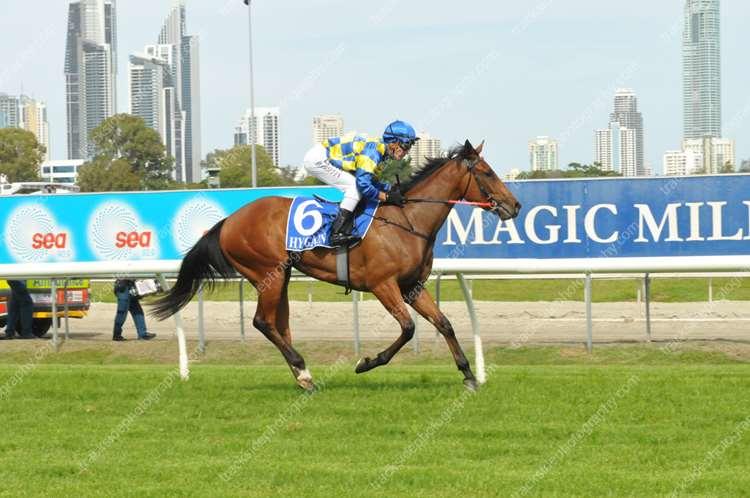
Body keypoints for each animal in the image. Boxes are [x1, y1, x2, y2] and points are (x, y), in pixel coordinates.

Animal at [152, 140, 521, 391]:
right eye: (487, 173)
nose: (515, 206)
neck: (408, 221)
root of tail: (229, 220)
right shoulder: (382, 285)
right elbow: (408, 328)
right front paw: (367, 362)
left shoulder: (412, 287)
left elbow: (444, 323)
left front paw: (469, 375)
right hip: (267, 272)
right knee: (262, 322)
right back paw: (302, 369)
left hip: (280, 276)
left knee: (279, 324)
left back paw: (303, 376)